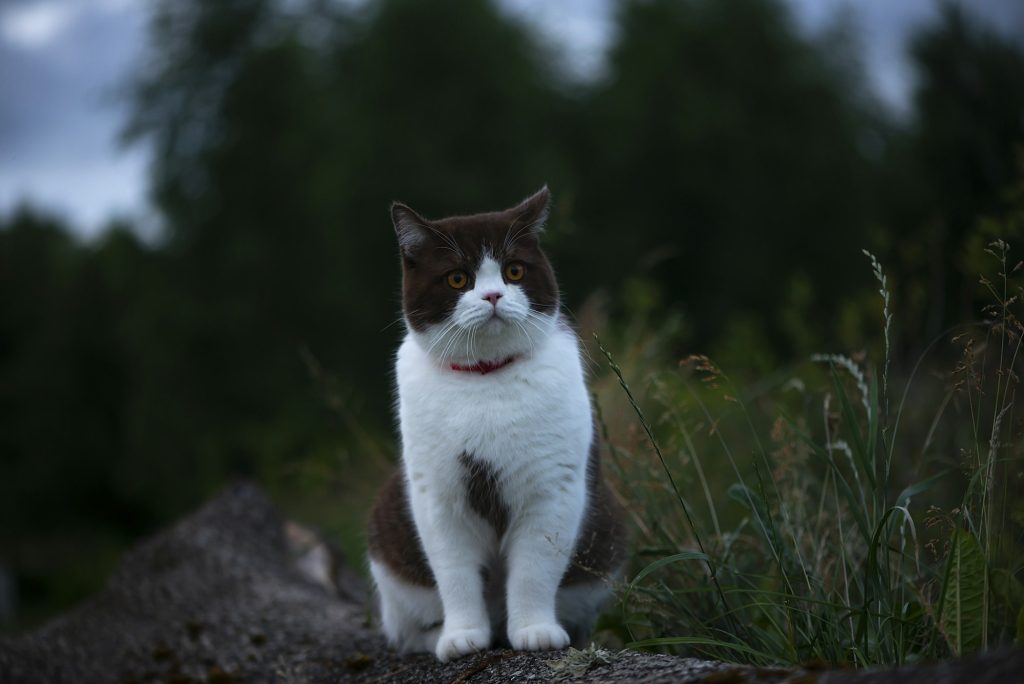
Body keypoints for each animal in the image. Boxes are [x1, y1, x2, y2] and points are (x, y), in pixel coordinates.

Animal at [368, 187, 622, 663]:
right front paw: (463, 637)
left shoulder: (552, 489)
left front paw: (536, 631)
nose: (492, 296)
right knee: (406, 631)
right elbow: (455, 574)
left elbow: (533, 570)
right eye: (457, 279)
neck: (484, 378)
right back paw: (439, 637)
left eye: (514, 270)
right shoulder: (437, 496)